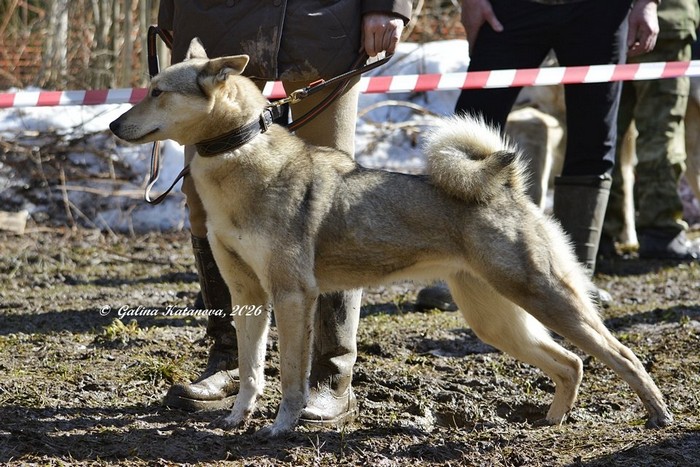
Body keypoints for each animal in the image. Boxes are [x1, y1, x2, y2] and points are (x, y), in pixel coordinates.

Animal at [110, 39, 673, 438]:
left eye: (157, 92)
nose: (114, 124)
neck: (238, 156)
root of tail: (507, 185)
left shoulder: (292, 296)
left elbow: (290, 378)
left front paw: (280, 427)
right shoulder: (248, 295)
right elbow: (250, 372)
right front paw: (236, 419)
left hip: (545, 298)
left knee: (620, 355)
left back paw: (657, 414)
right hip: (496, 319)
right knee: (570, 363)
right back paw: (553, 421)